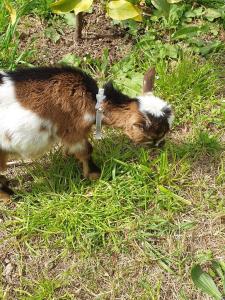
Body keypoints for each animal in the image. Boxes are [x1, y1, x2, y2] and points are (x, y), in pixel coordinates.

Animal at [0, 67, 174, 200]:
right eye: (156, 135)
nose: (162, 145)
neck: (92, 100)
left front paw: (68, 157)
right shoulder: (73, 130)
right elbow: (86, 150)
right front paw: (94, 174)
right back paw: (9, 196)